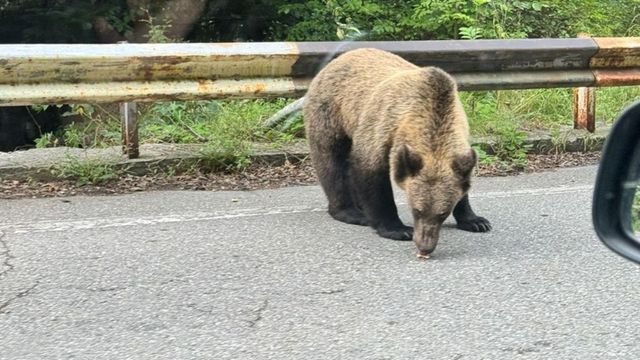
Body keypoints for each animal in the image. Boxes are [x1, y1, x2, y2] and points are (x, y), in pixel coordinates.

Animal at [302, 47, 492, 256]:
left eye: (443, 213)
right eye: (417, 210)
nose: (425, 246)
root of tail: (335, 61)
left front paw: (476, 221)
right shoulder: (382, 129)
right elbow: (373, 177)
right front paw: (397, 228)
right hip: (330, 113)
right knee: (331, 163)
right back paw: (351, 212)